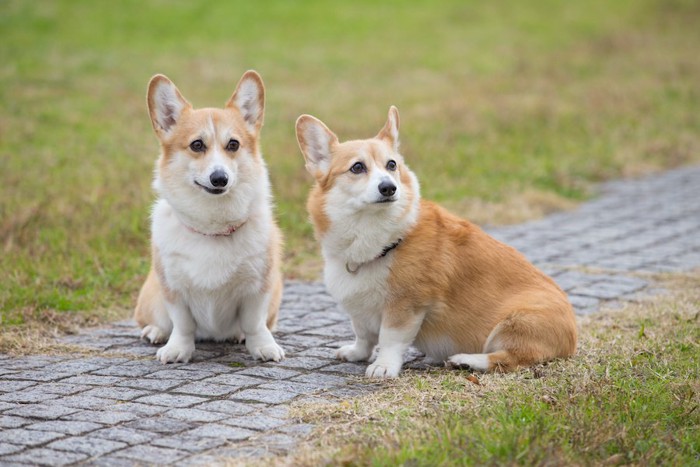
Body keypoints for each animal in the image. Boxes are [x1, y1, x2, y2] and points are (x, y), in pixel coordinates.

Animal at [134, 71, 284, 364]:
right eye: (197, 145)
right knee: (158, 320)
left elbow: (254, 323)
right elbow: (182, 324)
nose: (219, 178)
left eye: (233, 144)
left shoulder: (259, 287)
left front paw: (262, 346)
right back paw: (155, 331)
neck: (212, 227)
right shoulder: (173, 288)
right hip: (152, 294)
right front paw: (178, 349)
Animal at [296, 108, 576, 378]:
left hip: (518, 321)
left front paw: (384, 366)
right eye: (357, 167)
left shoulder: (405, 306)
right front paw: (356, 353)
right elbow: (363, 334)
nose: (389, 188)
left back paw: (466, 361)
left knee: (510, 359)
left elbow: (389, 339)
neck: (378, 238)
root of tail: (573, 336)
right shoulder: (360, 311)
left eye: (391, 165)